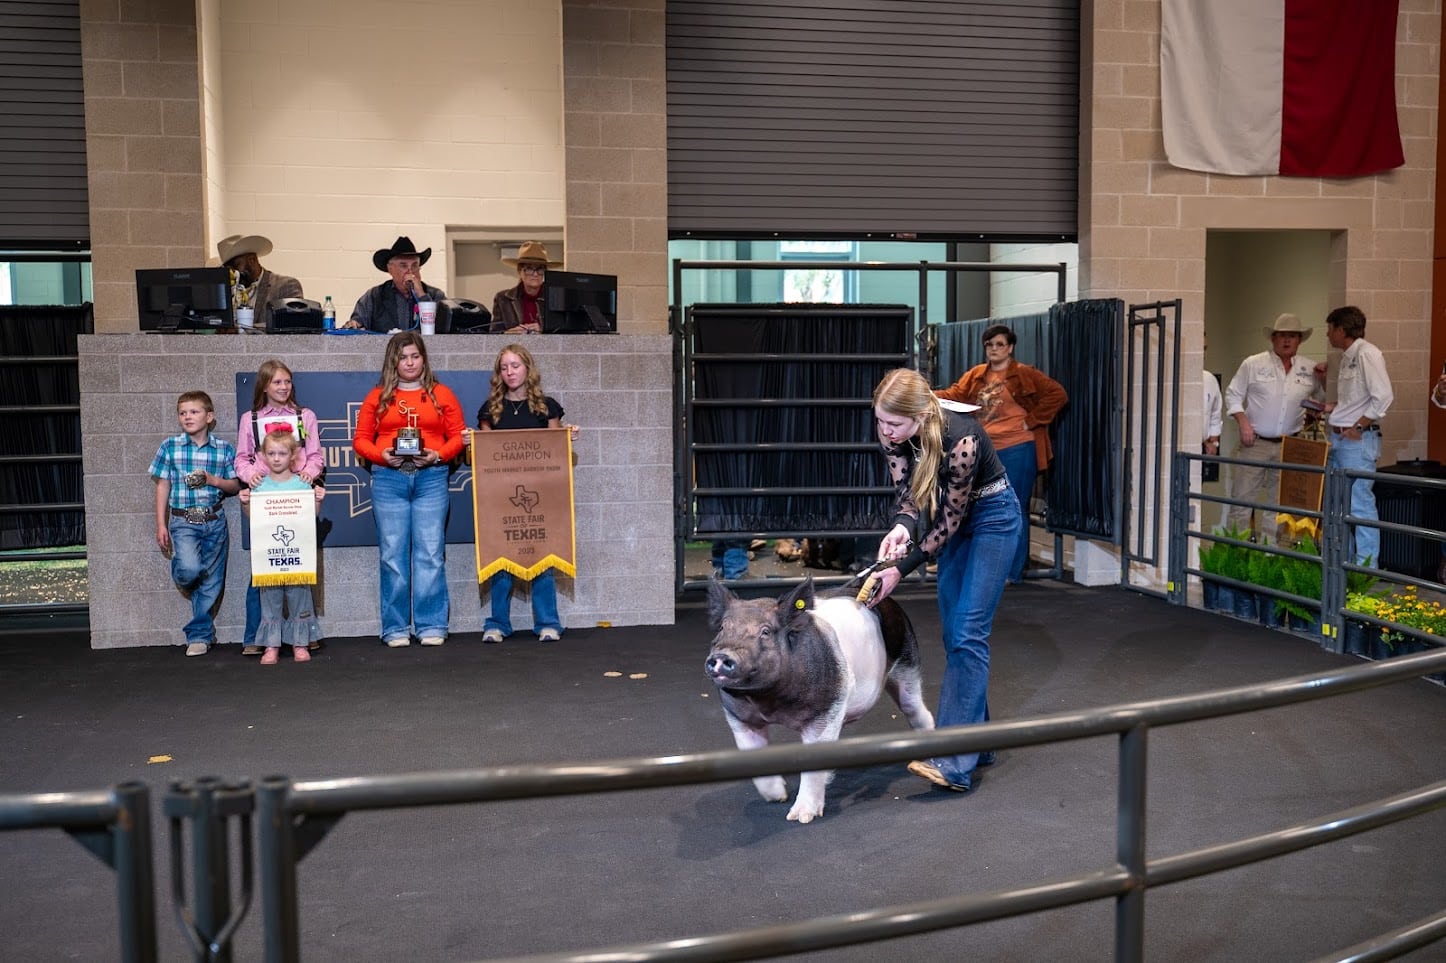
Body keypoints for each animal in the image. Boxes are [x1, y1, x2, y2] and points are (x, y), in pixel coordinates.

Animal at [702, 572, 937, 821]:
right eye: (722, 628)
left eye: (765, 631)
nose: (722, 655)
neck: (769, 703)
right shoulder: (739, 717)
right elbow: (752, 756)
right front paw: (777, 797)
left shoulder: (826, 709)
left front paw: (800, 817)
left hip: (907, 659)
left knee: (915, 708)